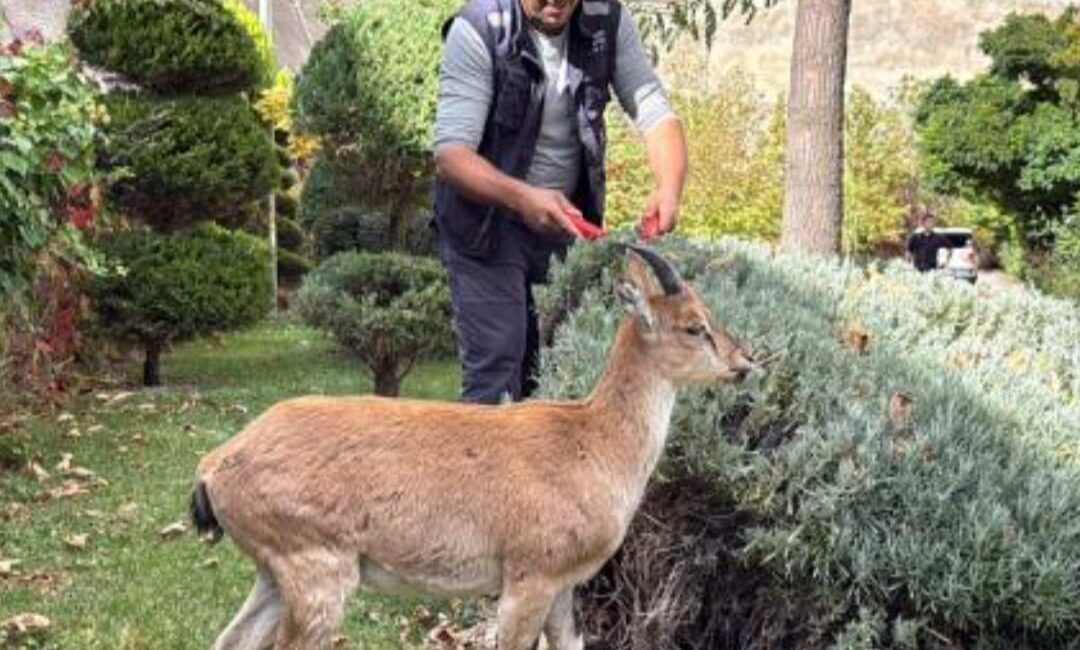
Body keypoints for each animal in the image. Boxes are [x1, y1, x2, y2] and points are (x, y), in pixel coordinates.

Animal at [190, 244, 756, 647]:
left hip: (272, 573)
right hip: (316, 571)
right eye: (694, 326)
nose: (744, 362)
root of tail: (214, 466)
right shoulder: (529, 578)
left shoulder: (563, 588)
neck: (592, 443)